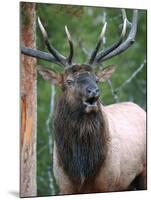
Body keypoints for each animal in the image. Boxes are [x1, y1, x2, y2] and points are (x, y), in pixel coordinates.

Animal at [21, 9, 146, 194]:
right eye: (69, 81)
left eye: (96, 79)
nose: (93, 91)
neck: (81, 170)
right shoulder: (64, 186)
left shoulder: (110, 183)